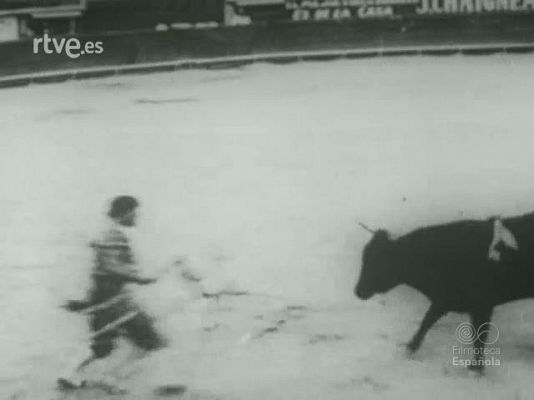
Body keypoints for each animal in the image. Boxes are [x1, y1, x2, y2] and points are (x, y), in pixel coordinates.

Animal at [356, 214, 534, 370]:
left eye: (379, 260)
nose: (357, 290)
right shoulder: (443, 301)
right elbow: (426, 323)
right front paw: (408, 350)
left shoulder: (481, 307)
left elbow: (479, 337)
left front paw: (475, 369)